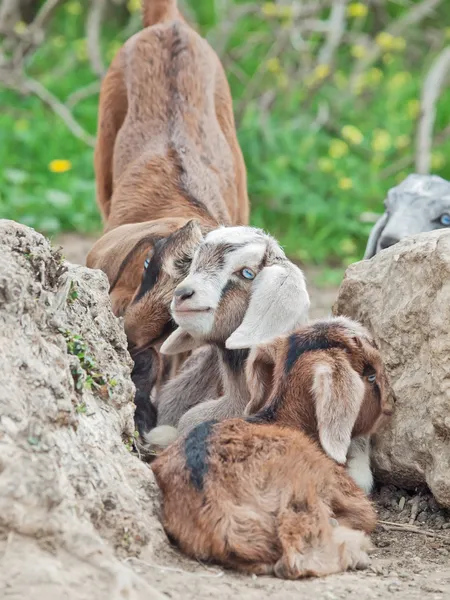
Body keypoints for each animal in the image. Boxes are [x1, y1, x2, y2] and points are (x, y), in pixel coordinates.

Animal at [151, 316, 390, 580]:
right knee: (297, 557)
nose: (390, 406)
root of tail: (222, 517)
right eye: (370, 376)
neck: (280, 418)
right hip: (300, 498)